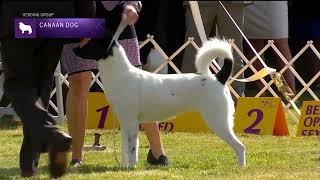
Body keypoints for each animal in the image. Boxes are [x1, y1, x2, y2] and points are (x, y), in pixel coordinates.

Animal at [74, 37, 246, 168]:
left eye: (91, 43)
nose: (74, 49)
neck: (121, 74)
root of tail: (219, 78)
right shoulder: (125, 123)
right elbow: (125, 149)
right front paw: (124, 167)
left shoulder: (131, 123)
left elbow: (132, 148)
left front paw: (131, 167)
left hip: (218, 122)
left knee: (240, 147)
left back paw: (240, 168)